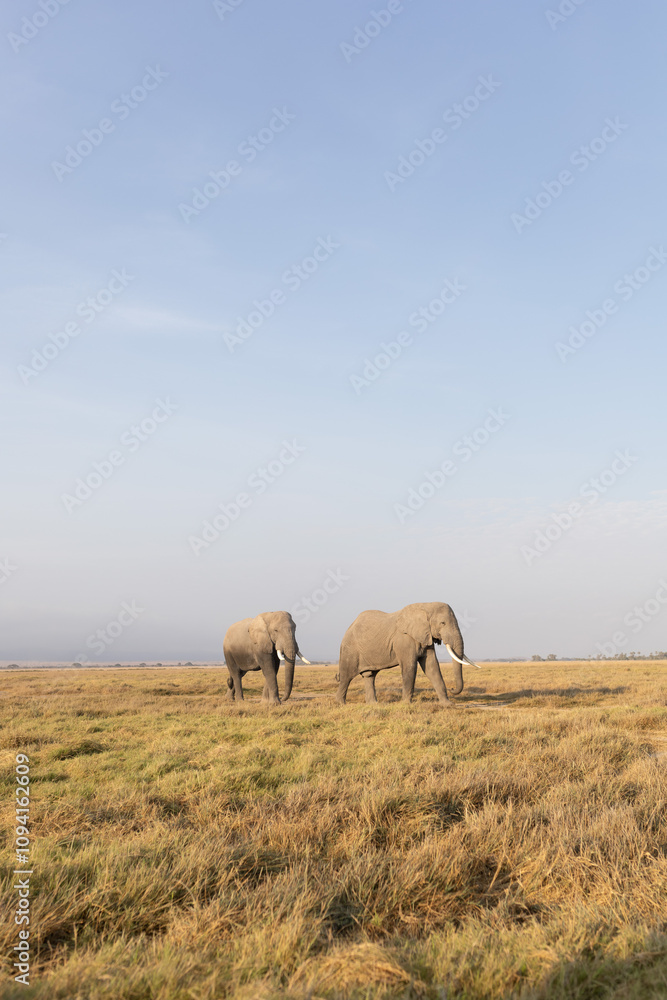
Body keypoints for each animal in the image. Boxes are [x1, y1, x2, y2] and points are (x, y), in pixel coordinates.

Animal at [336, 602, 480, 706]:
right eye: (442, 623)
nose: (452, 689)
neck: (425, 605)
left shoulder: (425, 636)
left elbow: (432, 667)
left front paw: (448, 705)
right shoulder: (404, 639)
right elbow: (410, 667)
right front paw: (406, 704)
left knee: (369, 676)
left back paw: (374, 704)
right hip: (349, 649)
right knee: (346, 677)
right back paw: (341, 704)